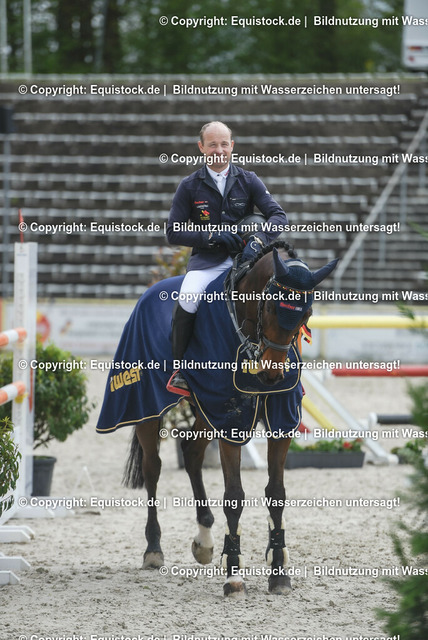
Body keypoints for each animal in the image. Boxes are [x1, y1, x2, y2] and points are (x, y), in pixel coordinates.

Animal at [97, 241, 338, 597]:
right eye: (270, 308)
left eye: (305, 315)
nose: (271, 375)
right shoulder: (229, 421)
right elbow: (234, 496)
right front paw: (234, 575)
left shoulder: (278, 420)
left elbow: (276, 493)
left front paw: (278, 571)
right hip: (146, 405)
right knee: (153, 468)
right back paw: (153, 549)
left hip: (203, 409)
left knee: (192, 454)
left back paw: (205, 541)